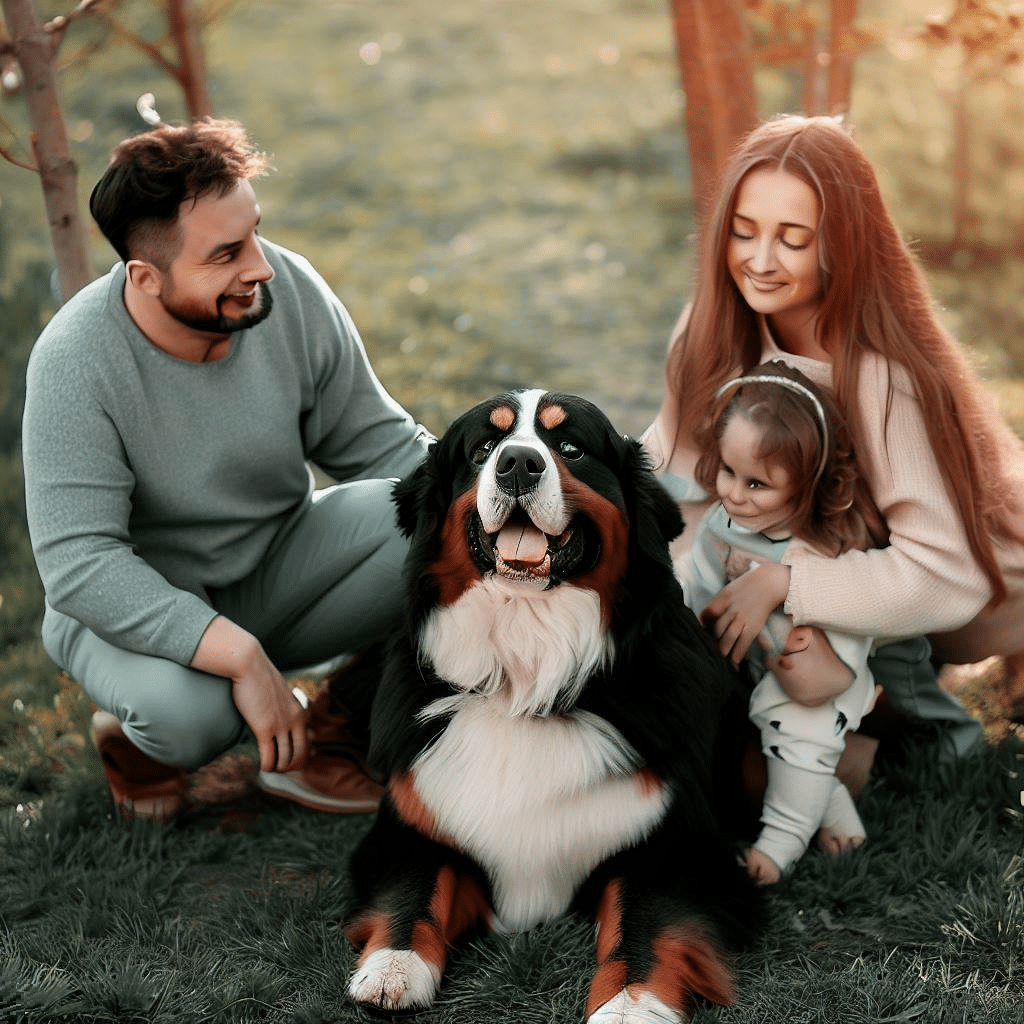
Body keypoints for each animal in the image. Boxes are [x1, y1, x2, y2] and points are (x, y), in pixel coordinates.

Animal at [344, 387, 761, 1019]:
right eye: (484, 448)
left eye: (570, 448)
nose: (518, 463)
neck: (527, 672)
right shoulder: (411, 818)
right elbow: (416, 888)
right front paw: (394, 966)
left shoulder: (677, 844)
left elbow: (644, 924)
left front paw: (631, 1003)